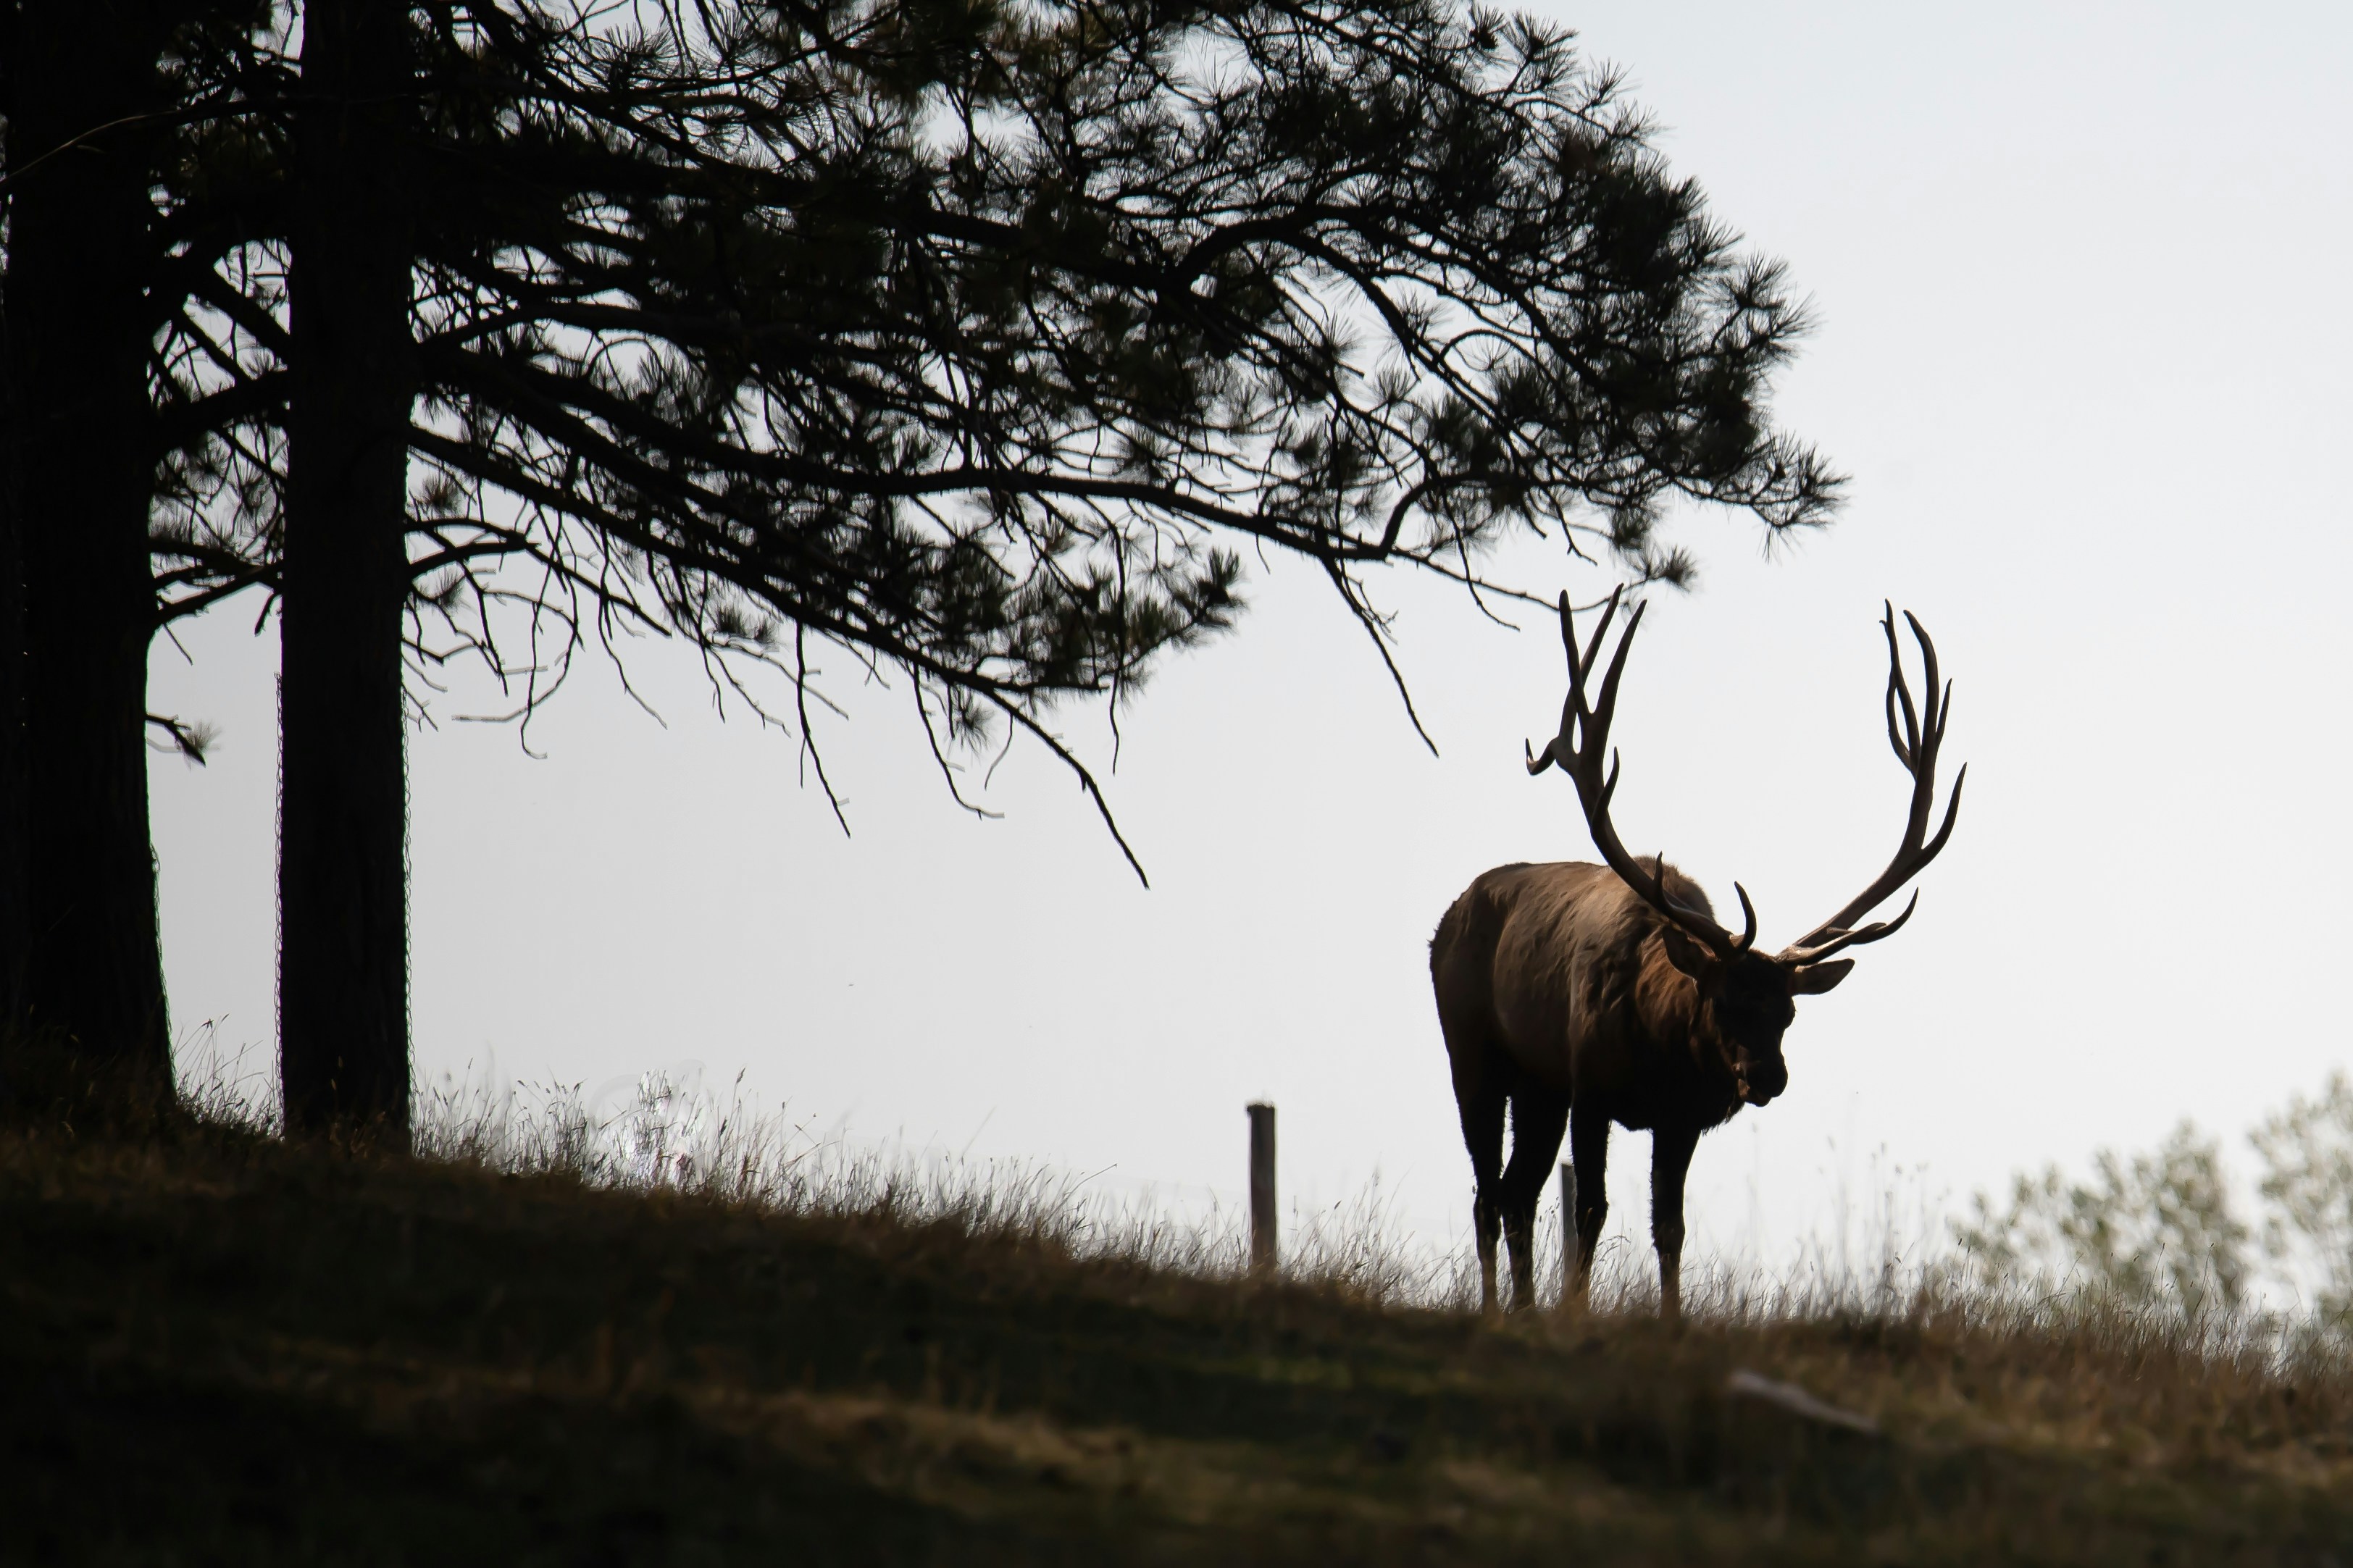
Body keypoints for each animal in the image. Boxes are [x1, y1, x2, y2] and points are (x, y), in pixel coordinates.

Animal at [1429, 589, 1963, 1319]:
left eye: (1789, 1013)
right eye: (1724, 1000)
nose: (1767, 1076)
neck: (1659, 1049)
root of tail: (1446, 920)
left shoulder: (1678, 1118)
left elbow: (1671, 1225)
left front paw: (1670, 1318)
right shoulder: (1590, 1084)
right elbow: (1592, 1209)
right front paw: (1576, 1312)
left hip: (1540, 1085)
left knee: (1518, 1193)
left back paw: (1524, 1307)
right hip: (1474, 1051)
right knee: (1489, 1194)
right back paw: (1496, 1309)